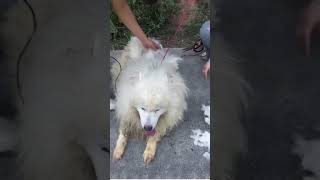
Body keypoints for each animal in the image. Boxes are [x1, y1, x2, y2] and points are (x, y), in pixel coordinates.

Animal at [112, 36, 189, 165]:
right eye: (142, 108)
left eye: (157, 109)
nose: (147, 128)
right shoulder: (125, 111)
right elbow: (123, 133)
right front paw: (118, 149)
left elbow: (154, 136)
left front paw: (149, 152)